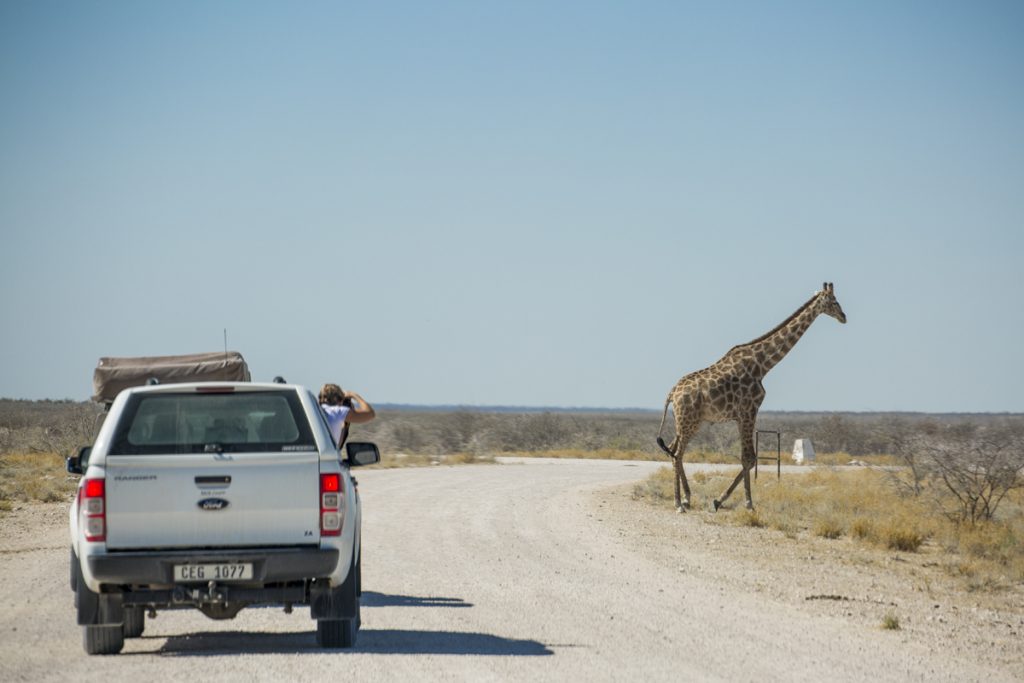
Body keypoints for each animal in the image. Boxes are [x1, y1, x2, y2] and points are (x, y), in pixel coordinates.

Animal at [655, 282, 847, 511]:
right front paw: (742, 502)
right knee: (677, 453)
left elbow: (746, 457)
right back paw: (679, 502)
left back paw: (686, 497)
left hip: (689, 421)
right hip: (688, 421)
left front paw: (723, 500)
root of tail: (671, 393)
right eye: (834, 301)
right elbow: (750, 458)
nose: (844, 317)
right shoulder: (749, 410)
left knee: (672, 449)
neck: (762, 364)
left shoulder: (741, 415)